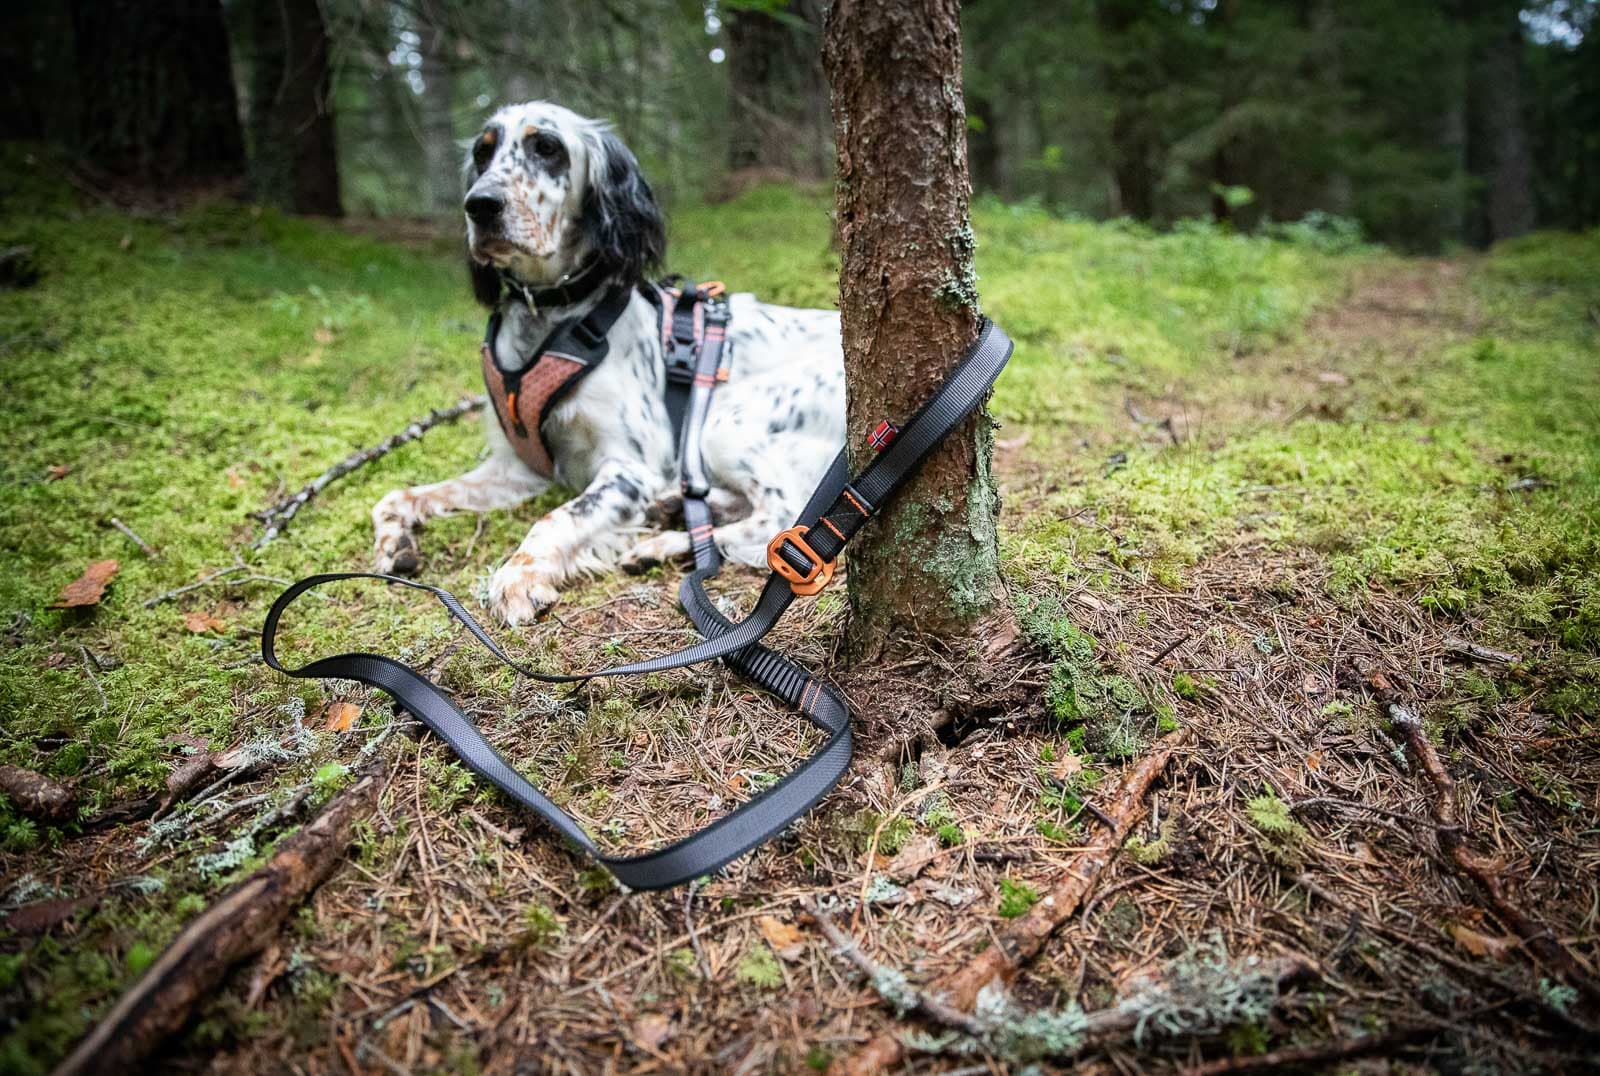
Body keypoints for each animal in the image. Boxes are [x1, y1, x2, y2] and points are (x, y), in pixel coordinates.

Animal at [371, 104, 851, 627]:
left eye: (547, 147)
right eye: (483, 151)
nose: (480, 204)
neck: (552, 316)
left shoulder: (628, 469)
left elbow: (555, 517)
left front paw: (518, 575)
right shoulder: (519, 468)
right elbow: (398, 496)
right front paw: (394, 539)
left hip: (724, 418)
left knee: (780, 522)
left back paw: (666, 541)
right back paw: (671, 512)